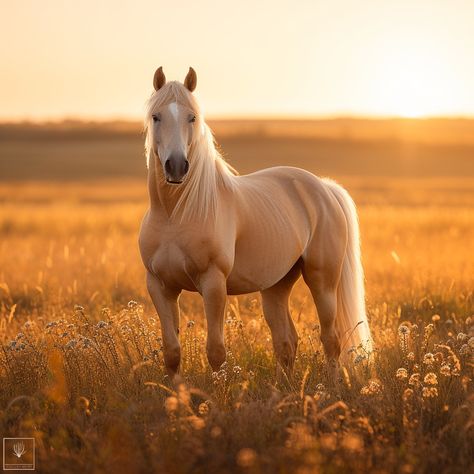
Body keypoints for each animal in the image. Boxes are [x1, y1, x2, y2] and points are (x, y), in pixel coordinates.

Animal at [139, 66, 372, 380]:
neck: (175, 214)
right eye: (156, 116)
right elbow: (172, 352)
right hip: (276, 285)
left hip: (322, 280)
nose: (176, 167)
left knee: (330, 339)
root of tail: (323, 187)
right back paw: (282, 387)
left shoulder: (213, 284)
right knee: (286, 341)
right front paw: (177, 392)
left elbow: (216, 352)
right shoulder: (160, 286)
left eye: (192, 117)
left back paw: (333, 384)